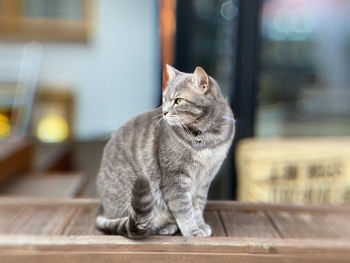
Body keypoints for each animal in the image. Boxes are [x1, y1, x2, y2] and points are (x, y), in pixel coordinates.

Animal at [95, 65, 235, 239]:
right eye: (165, 99)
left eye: (178, 100)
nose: (164, 112)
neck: (203, 136)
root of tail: (103, 211)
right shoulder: (175, 178)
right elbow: (184, 210)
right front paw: (192, 231)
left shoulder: (205, 178)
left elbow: (198, 205)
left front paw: (200, 225)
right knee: (138, 221)